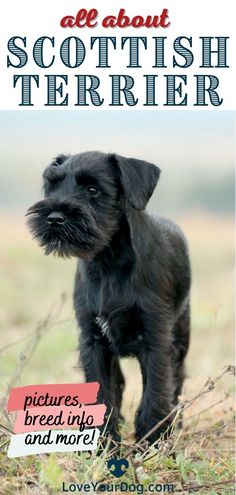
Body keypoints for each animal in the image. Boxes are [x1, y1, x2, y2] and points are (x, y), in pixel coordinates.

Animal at [26, 151, 191, 446]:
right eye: (53, 185)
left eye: (93, 189)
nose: (54, 217)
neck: (108, 261)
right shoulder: (93, 342)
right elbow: (103, 393)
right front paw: (103, 444)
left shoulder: (156, 340)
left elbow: (155, 393)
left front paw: (152, 443)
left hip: (181, 336)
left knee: (177, 381)